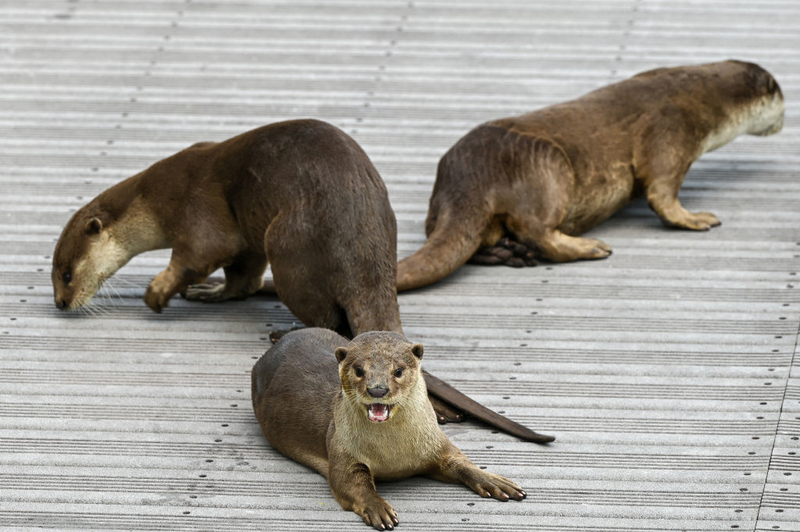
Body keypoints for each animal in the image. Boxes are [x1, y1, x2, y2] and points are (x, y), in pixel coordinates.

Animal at [50, 118, 552, 442]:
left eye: (67, 273)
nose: (60, 302)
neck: (154, 200)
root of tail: (366, 249)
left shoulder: (195, 211)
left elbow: (201, 254)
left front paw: (158, 292)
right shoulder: (243, 240)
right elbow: (240, 275)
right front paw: (210, 292)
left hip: (286, 241)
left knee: (327, 318)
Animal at [252, 328, 532, 528]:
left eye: (398, 370)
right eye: (359, 370)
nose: (377, 389)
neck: (393, 454)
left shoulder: (436, 442)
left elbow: (460, 461)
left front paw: (493, 480)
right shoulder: (342, 447)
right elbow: (349, 482)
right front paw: (378, 507)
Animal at [396, 61, 784, 290]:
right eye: (782, 101)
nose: (783, 122)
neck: (698, 96)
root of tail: (468, 178)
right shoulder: (670, 132)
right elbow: (661, 194)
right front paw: (696, 217)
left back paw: (511, 254)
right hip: (549, 169)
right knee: (538, 229)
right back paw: (590, 247)